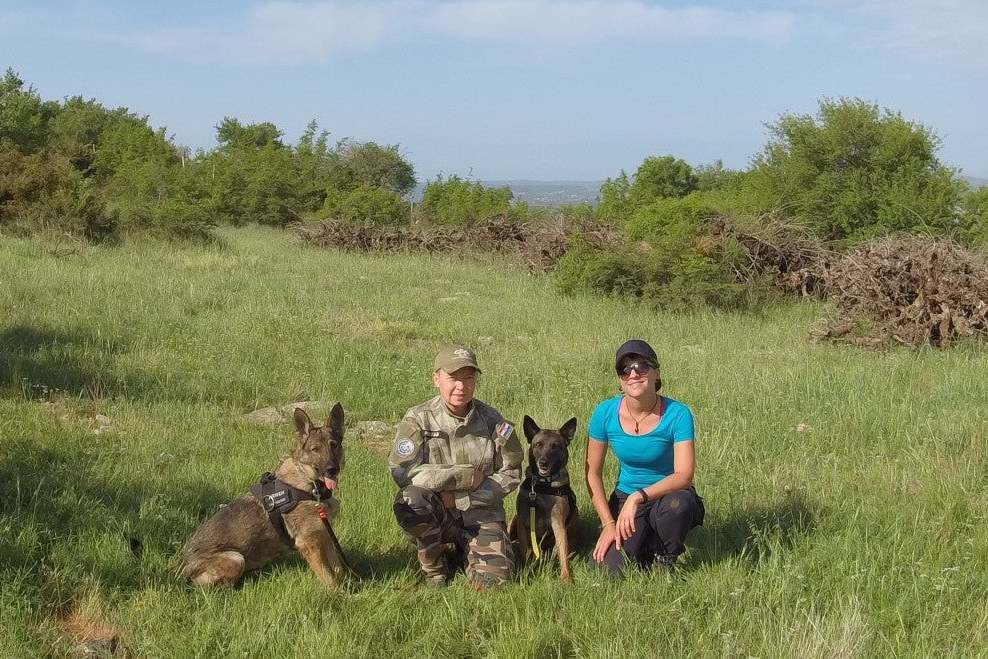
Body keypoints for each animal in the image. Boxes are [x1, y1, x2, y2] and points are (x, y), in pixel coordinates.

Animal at [181, 404, 352, 592]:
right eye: (315, 449)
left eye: (333, 445)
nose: (332, 469)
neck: (308, 483)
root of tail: (180, 568)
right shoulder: (310, 543)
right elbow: (329, 576)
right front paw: (341, 594)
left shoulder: (324, 536)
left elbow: (338, 569)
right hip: (236, 558)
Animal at [510, 418, 580, 584]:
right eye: (538, 445)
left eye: (555, 446)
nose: (543, 463)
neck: (542, 485)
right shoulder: (522, 521)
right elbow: (524, 550)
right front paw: (524, 571)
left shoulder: (558, 523)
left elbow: (562, 553)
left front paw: (566, 578)